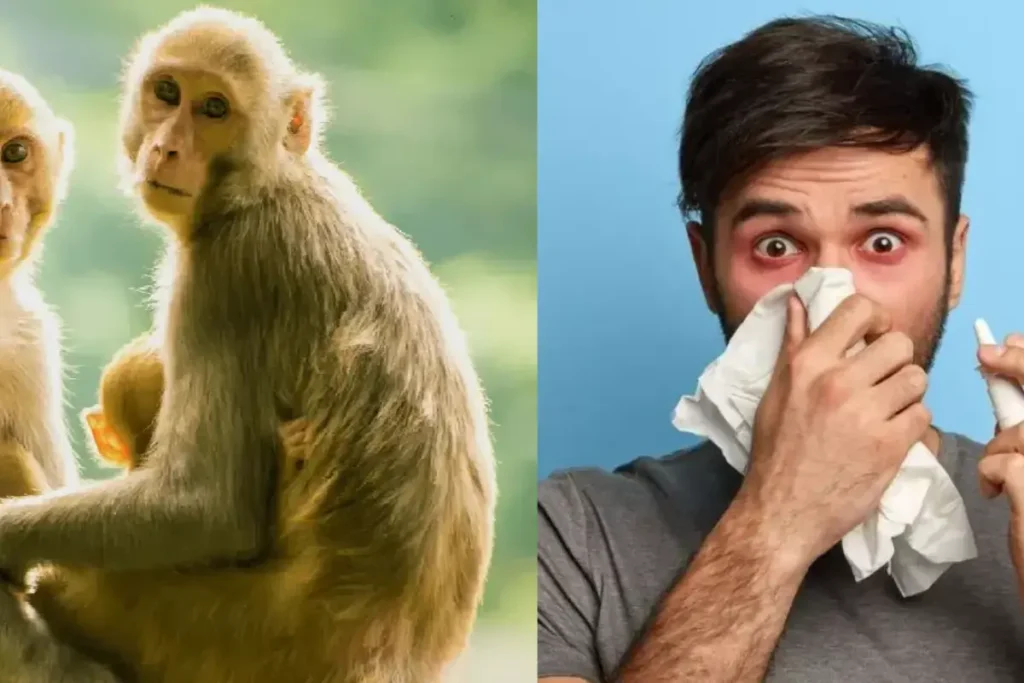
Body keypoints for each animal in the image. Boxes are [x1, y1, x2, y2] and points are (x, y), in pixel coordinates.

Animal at [0, 7, 498, 683]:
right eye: (167, 93)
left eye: (214, 109)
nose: (167, 147)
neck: (267, 183)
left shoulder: (228, 273)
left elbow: (206, 506)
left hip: (203, 635)